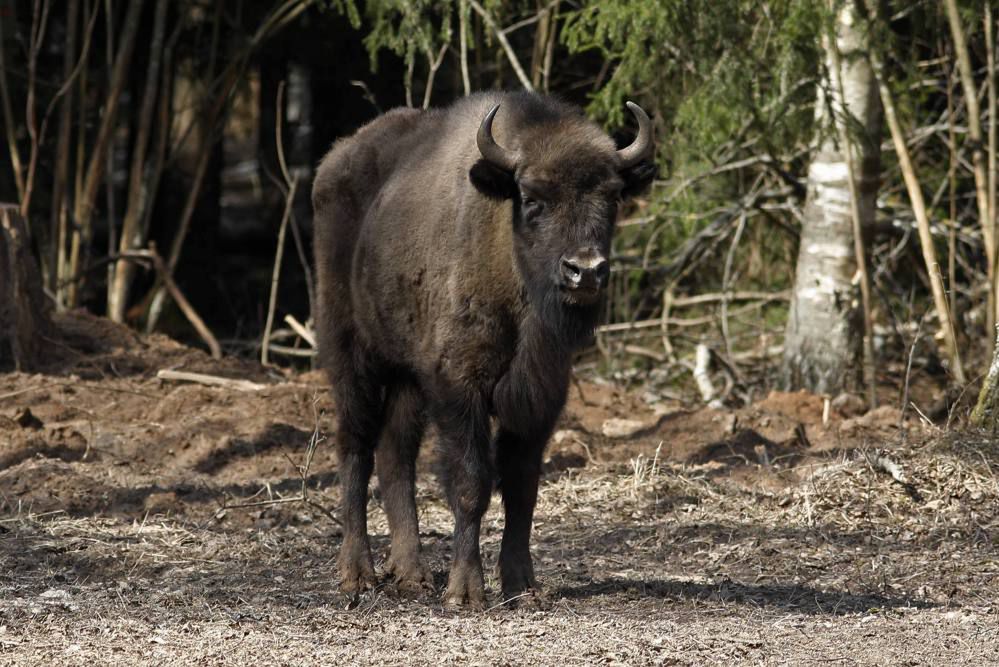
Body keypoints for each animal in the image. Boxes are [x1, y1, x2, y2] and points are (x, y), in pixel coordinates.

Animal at [312, 91, 656, 608]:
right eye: (531, 199)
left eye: (613, 196)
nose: (585, 270)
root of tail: (333, 162)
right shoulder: (458, 387)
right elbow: (471, 483)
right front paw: (466, 591)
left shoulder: (539, 398)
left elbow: (521, 486)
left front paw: (522, 585)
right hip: (351, 356)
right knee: (355, 446)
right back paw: (357, 574)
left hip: (407, 375)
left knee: (396, 455)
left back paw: (412, 574)